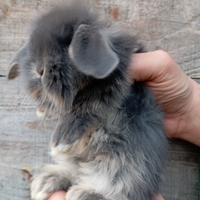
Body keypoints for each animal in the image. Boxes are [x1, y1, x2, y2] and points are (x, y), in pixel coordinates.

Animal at [7, 1, 168, 200]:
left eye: (67, 47)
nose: (38, 70)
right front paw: (43, 110)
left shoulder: (118, 84)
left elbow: (88, 105)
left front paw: (60, 141)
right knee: (74, 172)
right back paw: (46, 181)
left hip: (126, 163)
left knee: (119, 188)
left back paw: (83, 193)